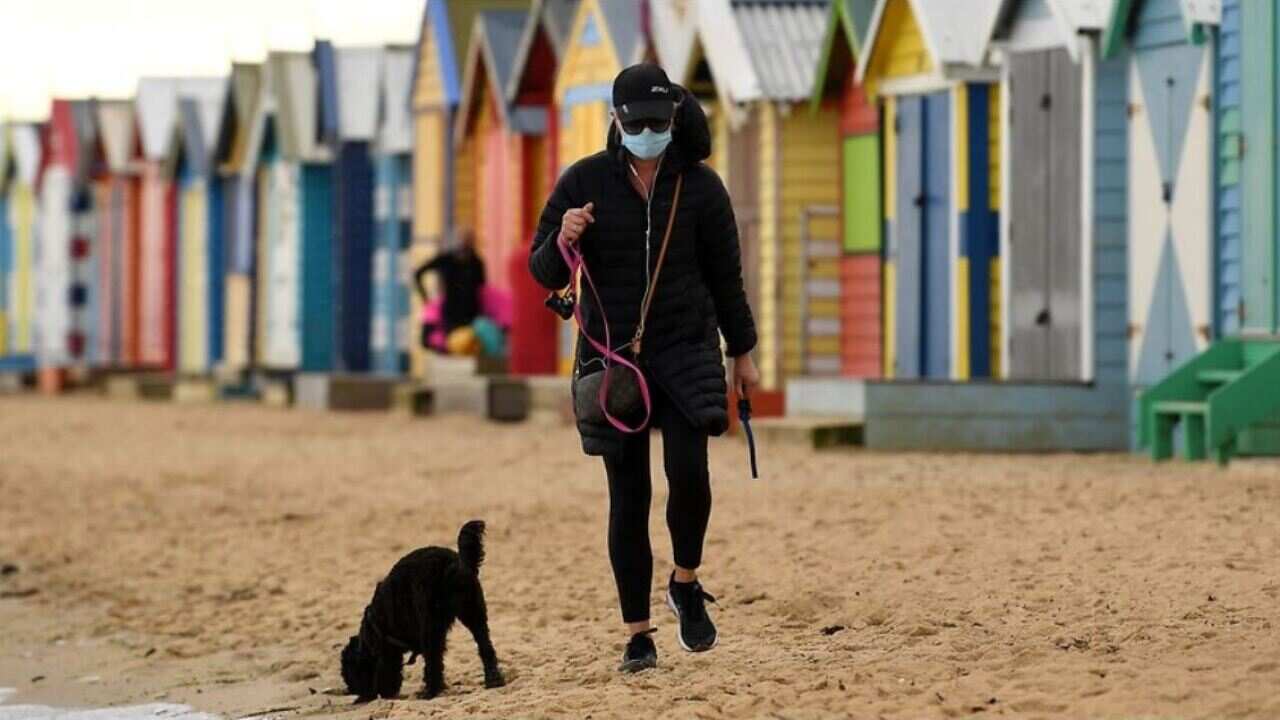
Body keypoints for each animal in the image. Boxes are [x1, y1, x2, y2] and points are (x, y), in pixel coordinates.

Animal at [340, 517, 504, 696]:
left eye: (349, 673)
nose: (353, 692)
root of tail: (455, 564)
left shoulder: (386, 650)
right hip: (474, 614)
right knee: (485, 647)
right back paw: (493, 680)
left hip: (431, 623)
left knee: (433, 659)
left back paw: (430, 691)